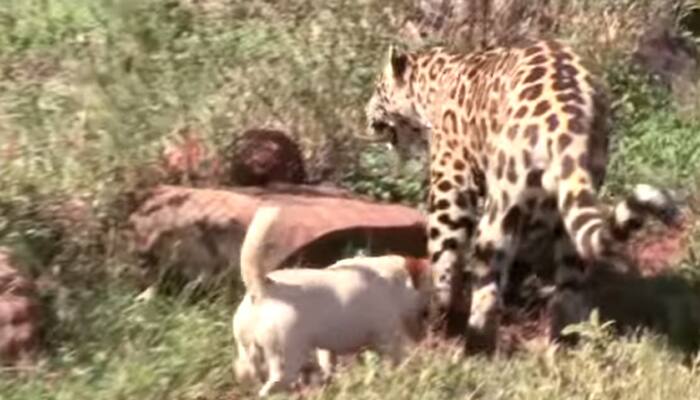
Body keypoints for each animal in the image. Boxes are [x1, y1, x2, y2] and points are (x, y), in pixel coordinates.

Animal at [232, 206, 432, 396]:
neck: (400, 278)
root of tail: (263, 288)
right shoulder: (387, 337)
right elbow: (396, 359)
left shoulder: (328, 350)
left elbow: (329, 365)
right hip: (286, 360)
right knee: (272, 386)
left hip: (247, 354)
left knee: (248, 374)